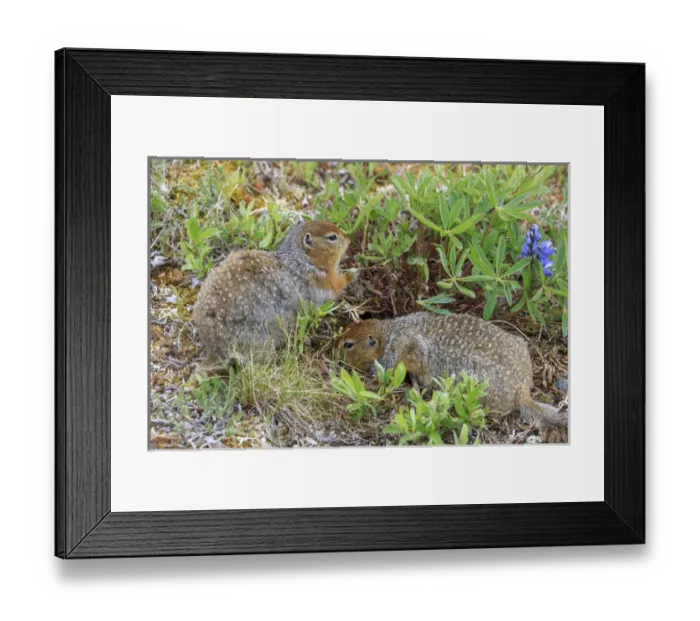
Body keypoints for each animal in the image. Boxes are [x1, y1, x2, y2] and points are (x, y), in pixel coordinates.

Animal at [193, 219, 353, 370]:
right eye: (332, 237)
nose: (349, 240)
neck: (300, 259)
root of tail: (214, 348)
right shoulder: (321, 282)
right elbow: (336, 287)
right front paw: (352, 273)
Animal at [335, 312, 568, 432]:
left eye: (348, 345)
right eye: (345, 327)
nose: (332, 349)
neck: (389, 333)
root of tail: (523, 389)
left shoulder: (404, 348)